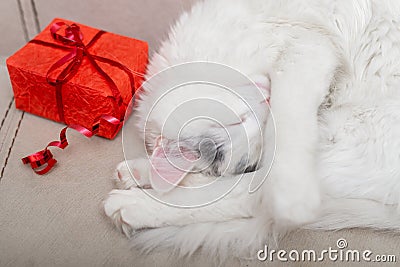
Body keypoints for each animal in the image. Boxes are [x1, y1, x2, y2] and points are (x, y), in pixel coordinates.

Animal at [102, 0, 400, 260]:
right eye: (239, 123)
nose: (265, 96)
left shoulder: (308, 49)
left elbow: (286, 118)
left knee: (252, 197)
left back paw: (132, 204)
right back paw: (136, 177)